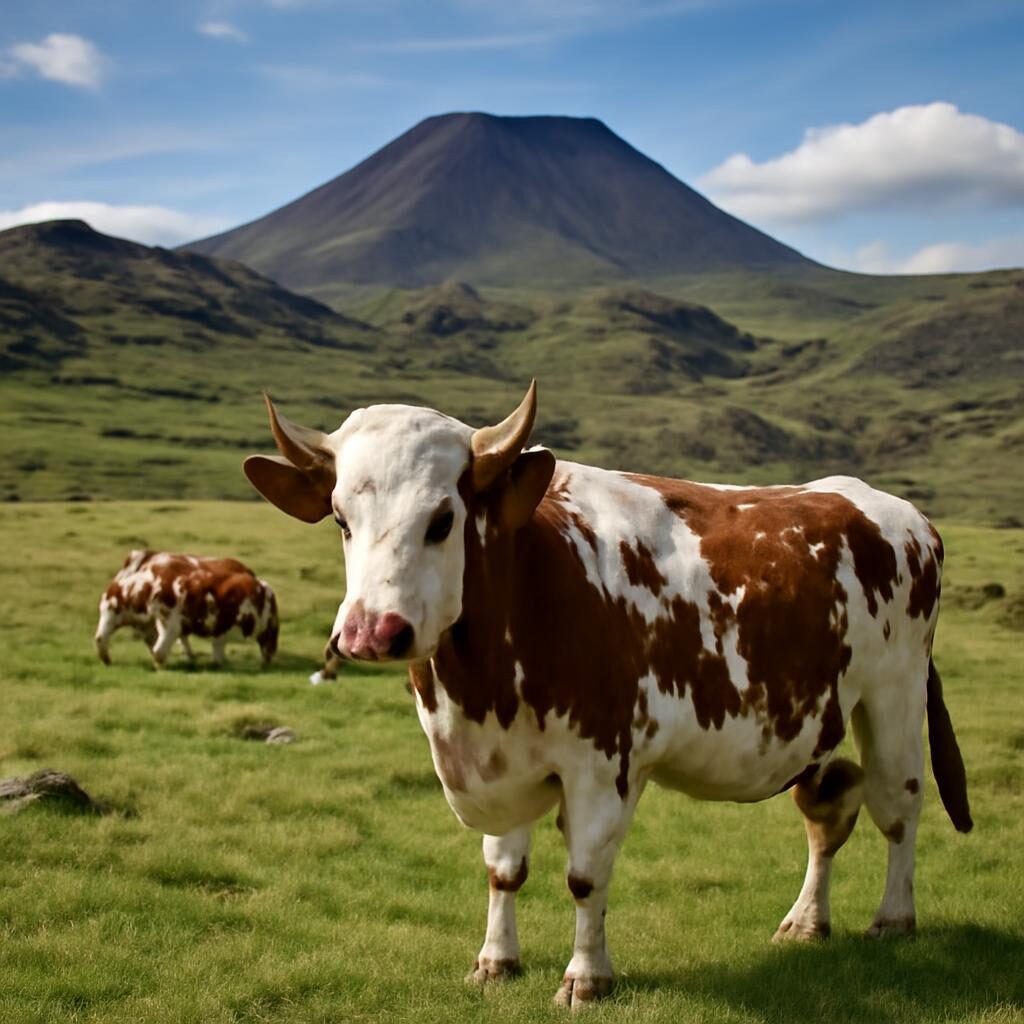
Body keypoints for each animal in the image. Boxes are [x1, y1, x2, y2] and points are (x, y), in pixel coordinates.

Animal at [95, 550, 279, 668]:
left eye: (111, 612)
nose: (106, 659)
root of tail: (261, 584)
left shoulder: (170, 623)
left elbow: (160, 650)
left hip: (267, 632)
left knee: (265, 649)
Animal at [243, 382, 972, 1009]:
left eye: (442, 518)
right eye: (341, 518)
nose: (370, 632)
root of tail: (897, 511)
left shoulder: (602, 760)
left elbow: (585, 875)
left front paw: (586, 977)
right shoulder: (503, 762)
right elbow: (503, 868)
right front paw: (495, 960)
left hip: (895, 696)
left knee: (899, 806)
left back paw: (893, 917)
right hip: (818, 715)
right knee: (829, 807)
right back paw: (805, 922)